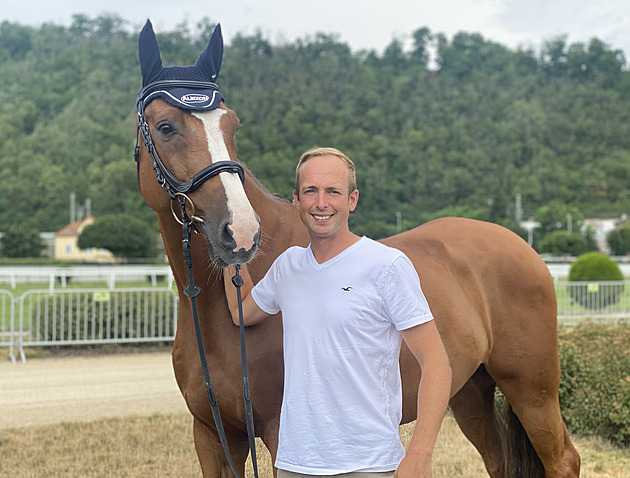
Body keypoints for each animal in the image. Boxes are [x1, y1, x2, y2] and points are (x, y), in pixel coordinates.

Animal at [137, 20, 584, 476]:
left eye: (231, 125)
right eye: (166, 127)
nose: (241, 232)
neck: (217, 318)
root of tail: (520, 245)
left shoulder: (282, 434)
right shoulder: (213, 436)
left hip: (531, 389)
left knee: (564, 458)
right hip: (469, 392)